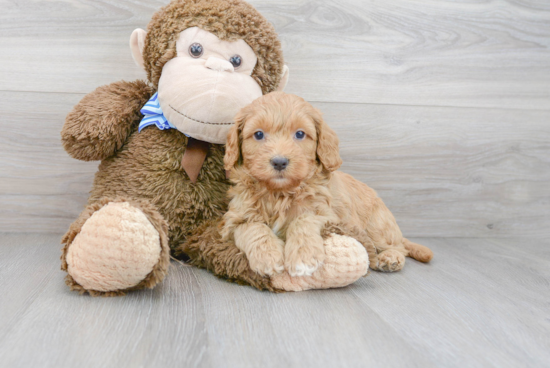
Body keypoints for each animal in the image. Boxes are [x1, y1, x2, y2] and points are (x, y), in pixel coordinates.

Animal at [222, 92, 434, 276]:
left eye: (300, 134)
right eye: (258, 135)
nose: (279, 162)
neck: (279, 192)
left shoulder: (329, 215)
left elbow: (303, 219)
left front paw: (303, 257)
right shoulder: (234, 219)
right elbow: (253, 228)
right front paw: (268, 257)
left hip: (377, 226)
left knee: (398, 246)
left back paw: (391, 257)